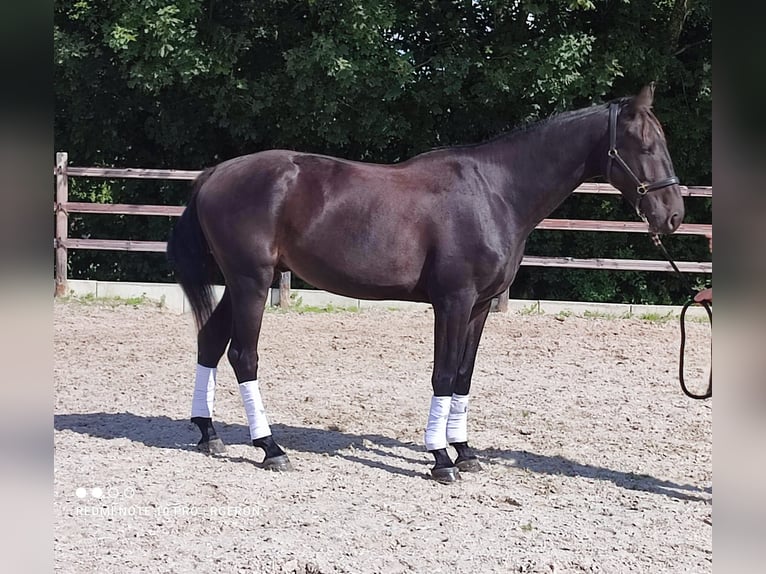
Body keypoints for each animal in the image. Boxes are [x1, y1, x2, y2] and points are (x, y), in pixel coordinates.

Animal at [166, 83, 684, 484]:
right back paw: (270, 447)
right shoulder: (453, 301)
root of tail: (216, 172)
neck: (495, 191)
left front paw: (465, 451)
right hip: (251, 282)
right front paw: (440, 459)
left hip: (243, 282)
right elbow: (443, 373)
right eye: (645, 145)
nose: (673, 216)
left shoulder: (479, 307)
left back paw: (208, 433)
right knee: (243, 355)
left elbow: (464, 375)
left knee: (210, 340)